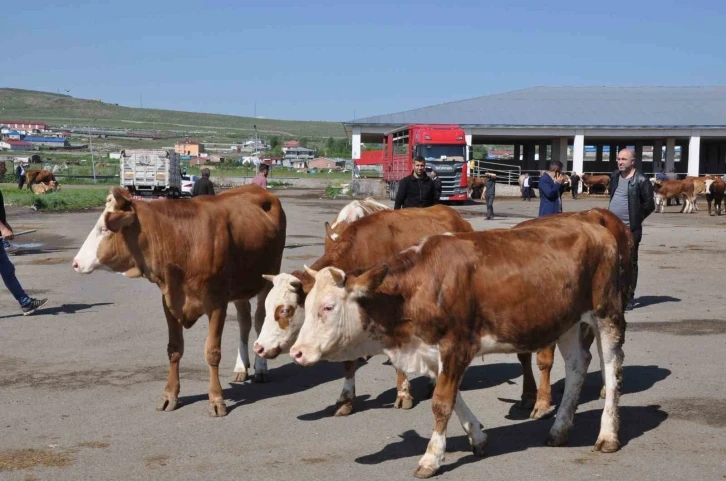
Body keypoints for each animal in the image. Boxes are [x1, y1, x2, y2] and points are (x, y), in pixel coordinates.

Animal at [72, 185, 288, 416]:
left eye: (104, 229)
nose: (75, 263)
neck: (181, 240)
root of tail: (257, 188)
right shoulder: (169, 301)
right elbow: (174, 349)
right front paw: (170, 395)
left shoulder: (217, 302)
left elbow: (212, 352)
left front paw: (216, 399)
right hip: (240, 287)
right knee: (244, 322)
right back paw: (241, 367)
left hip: (268, 277)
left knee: (259, 319)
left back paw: (261, 368)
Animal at [253, 206, 474, 416]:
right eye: (266, 307)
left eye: (285, 310)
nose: (259, 348)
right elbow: (348, 364)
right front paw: (346, 400)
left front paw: (403, 394)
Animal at [292, 219, 628, 478]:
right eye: (306, 306)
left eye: (328, 307)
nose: (297, 352)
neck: (419, 287)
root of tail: (594, 226)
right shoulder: (432, 350)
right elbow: (454, 399)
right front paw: (477, 436)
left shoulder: (457, 344)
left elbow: (442, 402)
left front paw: (431, 458)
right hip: (567, 321)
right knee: (577, 364)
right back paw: (559, 429)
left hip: (606, 311)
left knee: (611, 367)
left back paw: (608, 435)